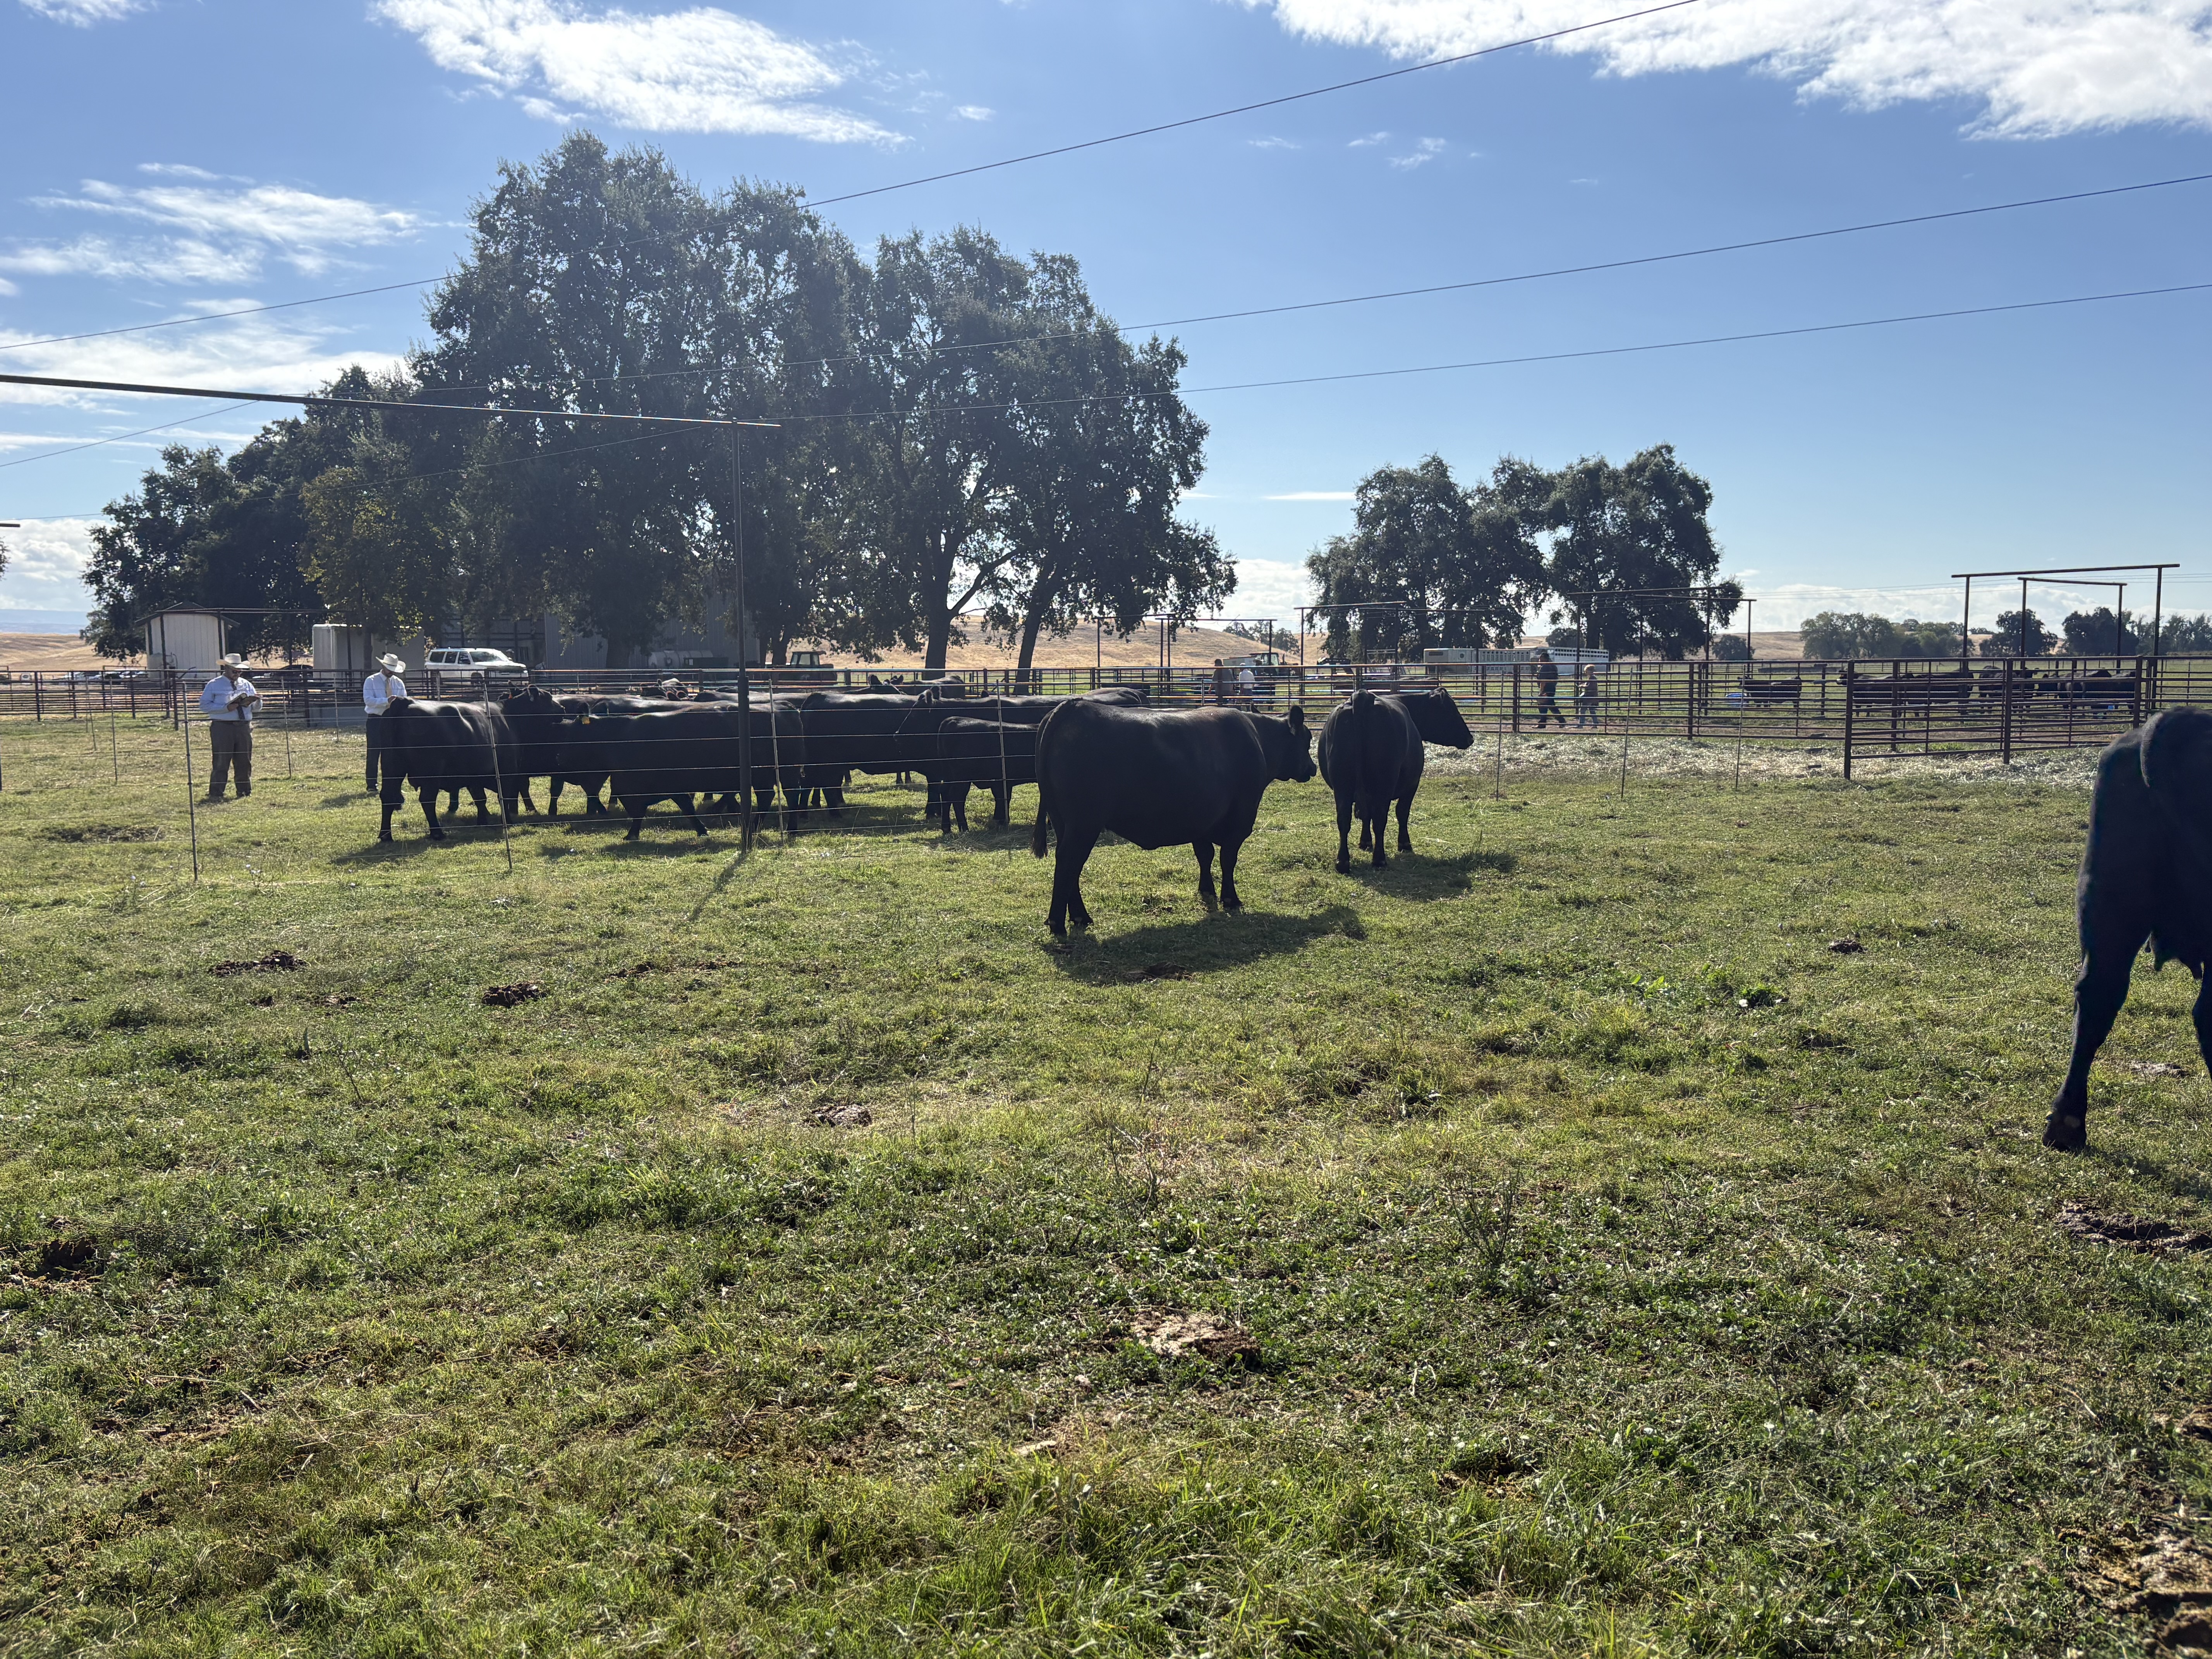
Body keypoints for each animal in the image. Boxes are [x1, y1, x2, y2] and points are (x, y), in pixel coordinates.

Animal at [375, 697, 524, 842]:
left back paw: (386, 835)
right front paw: (508, 822)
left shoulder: (475, 776)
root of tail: (405, 701)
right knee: (427, 800)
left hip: (392, 768)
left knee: (388, 796)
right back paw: (437, 833)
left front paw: (482, 822)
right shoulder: (506, 771)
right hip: (431, 774)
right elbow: (503, 797)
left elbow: (481, 799)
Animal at [1029, 701, 1316, 937]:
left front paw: (1207, 891)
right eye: (1307, 737)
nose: (1313, 768)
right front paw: (1231, 900)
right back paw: (1058, 923)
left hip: (1064, 823)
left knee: (1071, 867)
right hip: (1084, 824)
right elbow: (1228, 860)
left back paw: (1080, 917)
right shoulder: (1241, 818)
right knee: (1069, 862)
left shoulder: (1202, 819)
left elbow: (1205, 855)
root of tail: (1071, 706)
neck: (1258, 739)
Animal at [1318, 687, 1475, 873]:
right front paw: (1405, 844)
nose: (1470, 738)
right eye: (1451, 710)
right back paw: (1379, 860)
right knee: (1380, 819)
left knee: (1344, 819)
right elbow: (1402, 812)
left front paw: (1365, 842)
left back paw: (1343, 862)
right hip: (1383, 787)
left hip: (1343, 787)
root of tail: (1363, 696)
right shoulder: (1412, 785)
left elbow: (1366, 816)